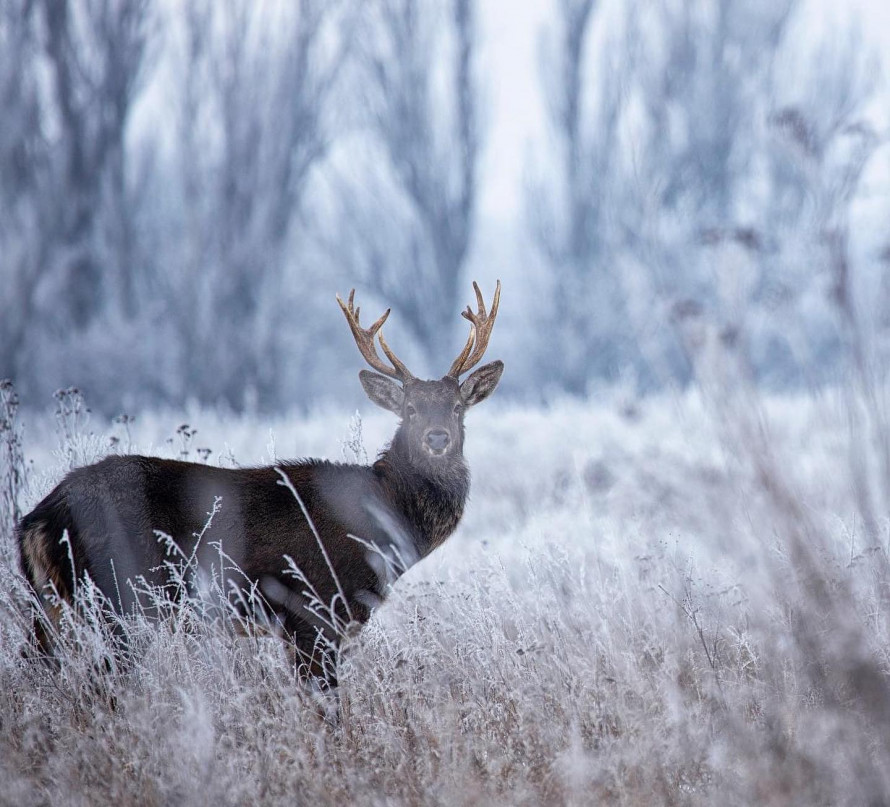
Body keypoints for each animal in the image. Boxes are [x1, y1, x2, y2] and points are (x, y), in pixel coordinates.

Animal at [15, 280, 500, 684]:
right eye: (411, 410)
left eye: (457, 407)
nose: (436, 437)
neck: (376, 522)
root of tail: (38, 518)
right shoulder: (311, 610)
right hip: (119, 596)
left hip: (56, 606)